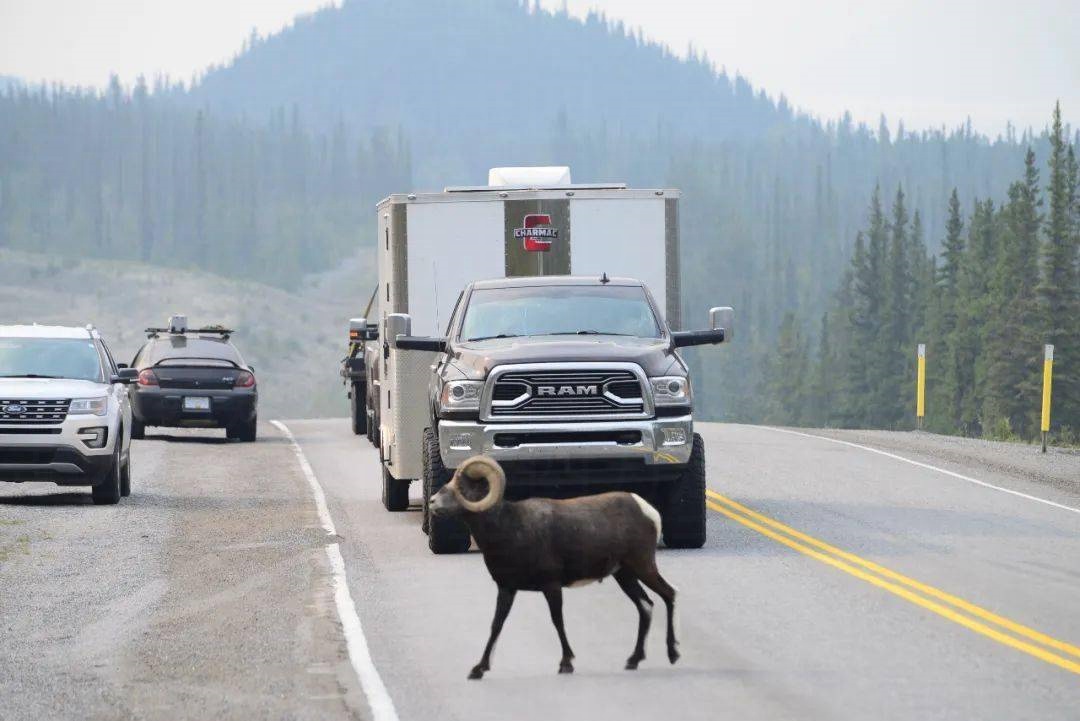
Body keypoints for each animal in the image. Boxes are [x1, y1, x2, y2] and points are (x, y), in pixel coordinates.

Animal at [427, 455, 673, 682]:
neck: (510, 528)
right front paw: (478, 669)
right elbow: (496, 625)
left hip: (643, 567)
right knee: (646, 606)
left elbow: (557, 621)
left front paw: (566, 664)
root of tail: (648, 511)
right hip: (625, 575)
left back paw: (673, 654)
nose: (431, 502)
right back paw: (634, 660)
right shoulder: (506, 589)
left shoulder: (552, 587)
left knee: (668, 594)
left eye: (462, 487)